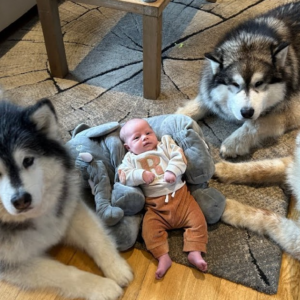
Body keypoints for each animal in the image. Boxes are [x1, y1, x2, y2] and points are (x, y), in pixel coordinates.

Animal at [0, 98, 132, 300]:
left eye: (28, 160)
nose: (21, 200)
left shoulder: (69, 211)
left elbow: (97, 238)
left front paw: (117, 267)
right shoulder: (11, 262)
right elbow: (62, 272)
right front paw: (102, 286)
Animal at [176, 1, 300, 158]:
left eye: (259, 83)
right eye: (235, 84)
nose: (247, 112)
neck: (249, 40)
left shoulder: (292, 108)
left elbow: (255, 124)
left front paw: (235, 142)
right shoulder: (209, 88)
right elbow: (202, 100)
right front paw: (171, 118)